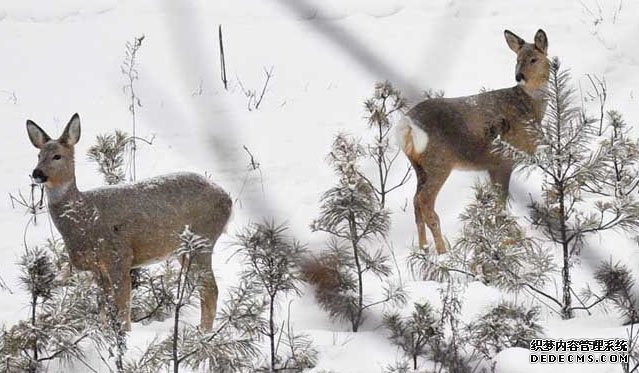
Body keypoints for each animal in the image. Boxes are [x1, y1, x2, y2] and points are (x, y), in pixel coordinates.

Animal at [27, 112, 234, 328]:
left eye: (57, 156)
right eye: (38, 155)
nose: (37, 173)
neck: (84, 219)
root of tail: (228, 199)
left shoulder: (119, 256)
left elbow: (123, 311)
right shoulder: (97, 268)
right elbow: (104, 309)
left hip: (203, 238)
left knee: (210, 288)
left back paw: (203, 333)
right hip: (183, 249)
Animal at [396, 28, 552, 253]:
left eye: (534, 59)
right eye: (517, 59)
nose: (519, 76)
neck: (529, 109)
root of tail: (407, 127)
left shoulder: (492, 166)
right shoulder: (503, 161)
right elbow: (500, 204)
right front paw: (503, 237)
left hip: (419, 167)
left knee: (416, 202)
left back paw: (424, 248)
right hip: (438, 163)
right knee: (425, 201)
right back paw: (442, 250)